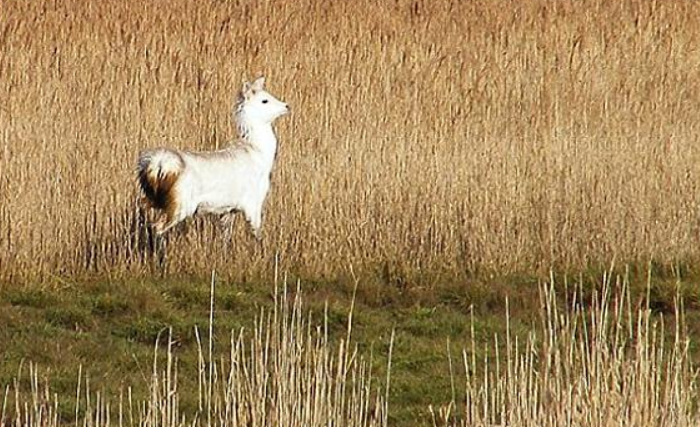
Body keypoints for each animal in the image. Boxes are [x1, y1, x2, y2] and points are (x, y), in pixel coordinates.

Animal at [137, 76, 290, 237]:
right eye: (264, 100)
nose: (286, 106)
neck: (259, 152)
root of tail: (157, 166)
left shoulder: (228, 209)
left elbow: (226, 235)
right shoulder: (253, 203)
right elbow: (257, 234)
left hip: (153, 197)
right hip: (179, 203)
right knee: (156, 227)